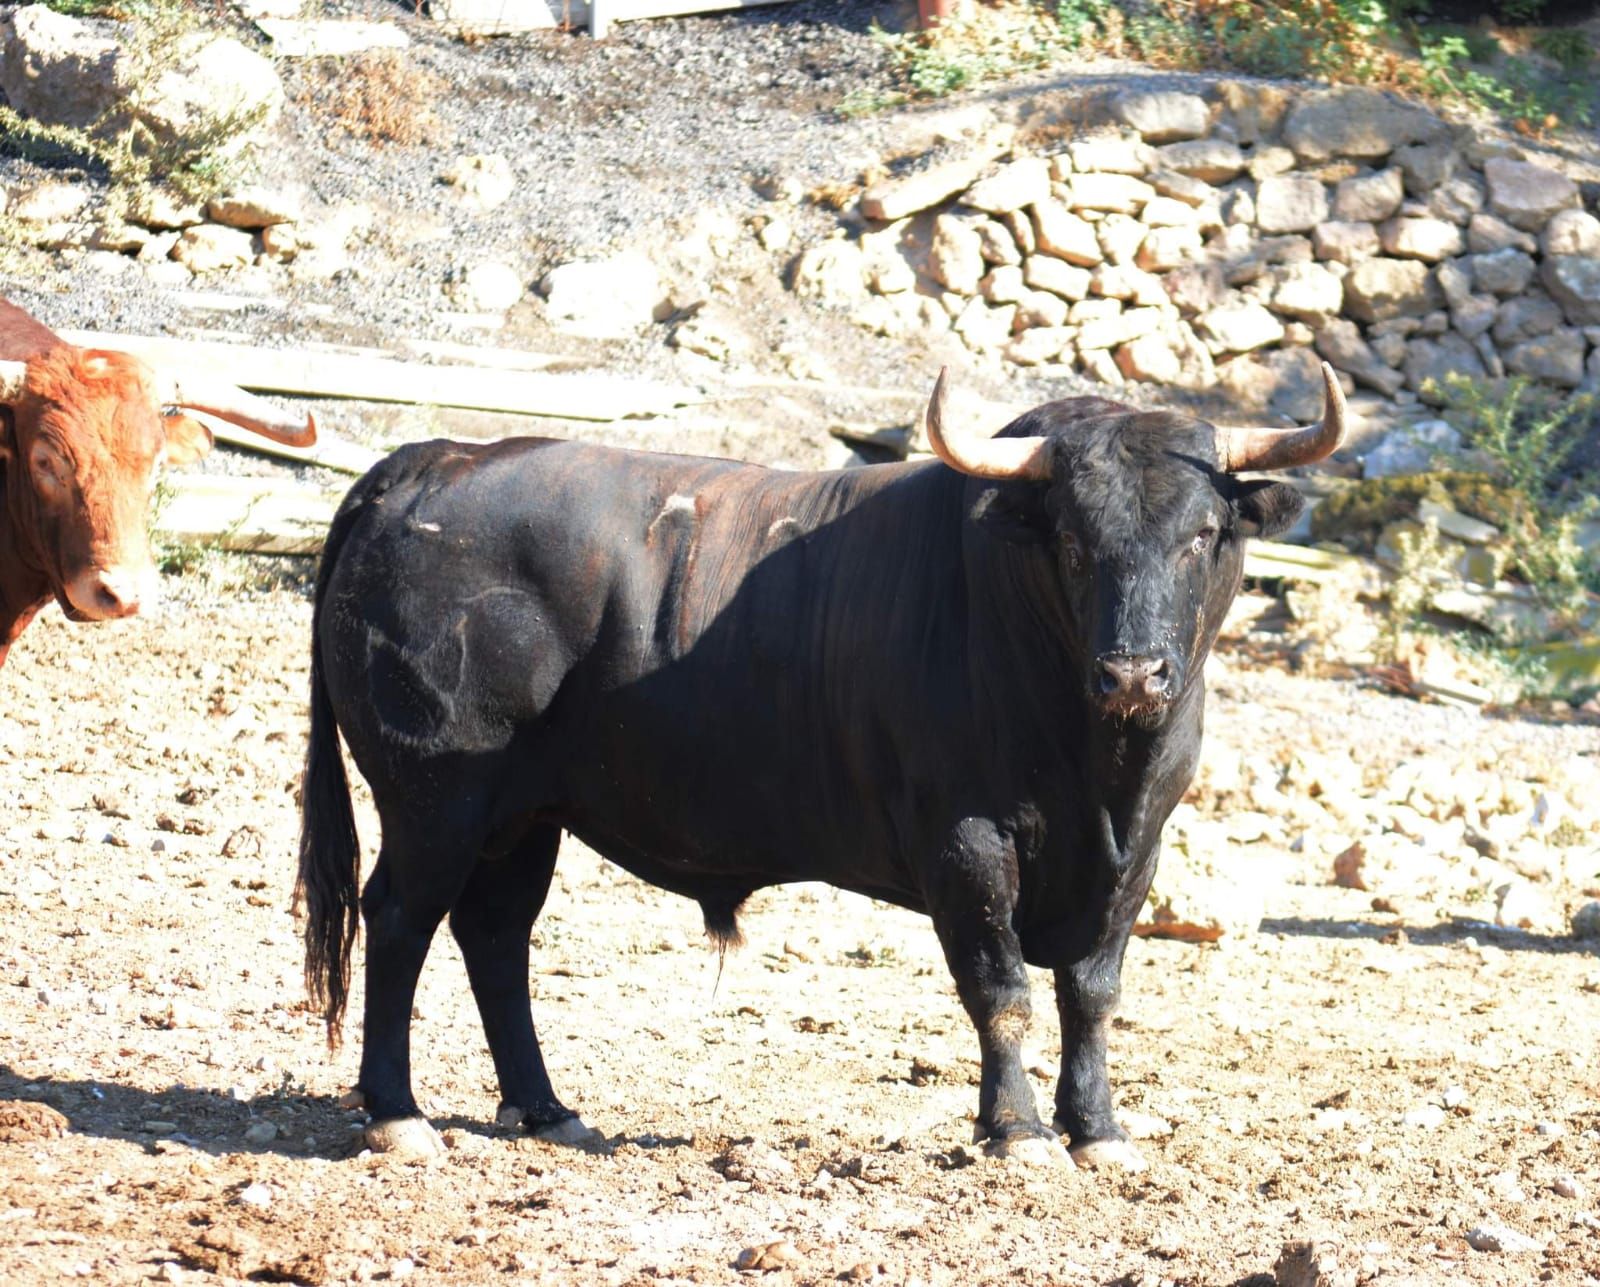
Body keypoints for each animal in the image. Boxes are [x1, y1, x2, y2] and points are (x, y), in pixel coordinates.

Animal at [297, 369, 1337, 1165]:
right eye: (1075, 543)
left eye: (1202, 534)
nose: (1133, 672)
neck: (1100, 769)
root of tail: (431, 462)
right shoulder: (965, 839)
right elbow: (1000, 988)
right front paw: (1017, 1132)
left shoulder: (1137, 852)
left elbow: (1092, 993)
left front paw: (1099, 1132)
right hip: (436, 796)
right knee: (401, 919)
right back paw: (399, 1116)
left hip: (522, 814)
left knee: (495, 934)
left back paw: (547, 1109)